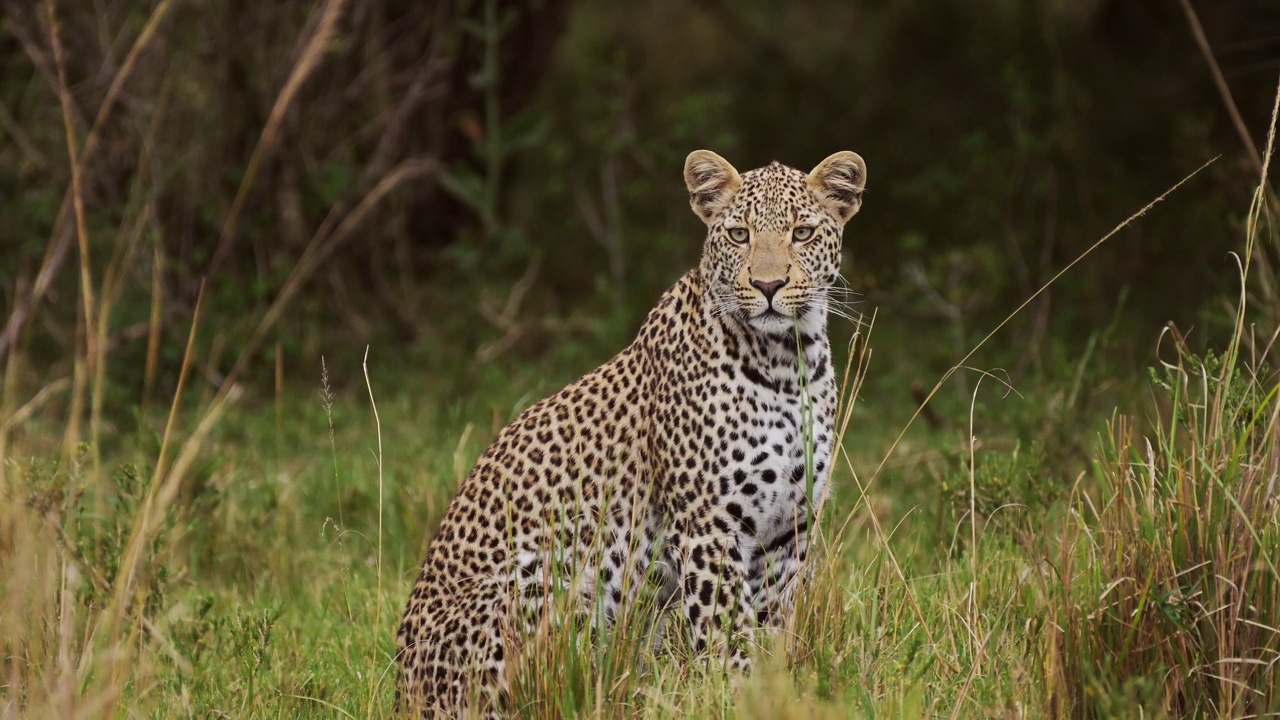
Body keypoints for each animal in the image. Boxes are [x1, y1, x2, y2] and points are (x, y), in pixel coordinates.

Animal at [394, 147, 865, 712]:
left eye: (802, 233)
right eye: (738, 235)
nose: (768, 286)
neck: (787, 363)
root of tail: (400, 691)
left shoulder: (787, 531)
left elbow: (772, 628)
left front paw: (771, 693)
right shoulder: (710, 525)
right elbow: (728, 632)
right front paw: (735, 696)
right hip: (544, 580)